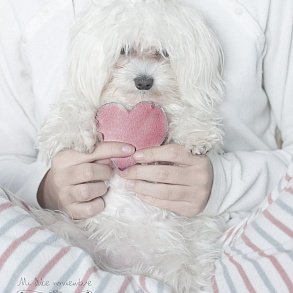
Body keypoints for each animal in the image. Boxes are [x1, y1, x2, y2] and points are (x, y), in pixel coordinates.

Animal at [36, 0, 227, 290]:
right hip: (67, 227)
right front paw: (72, 131)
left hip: (190, 247)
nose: (144, 81)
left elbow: (185, 113)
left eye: (163, 52)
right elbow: (76, 106)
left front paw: (196, 134)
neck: (132, 103)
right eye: (124, 50)